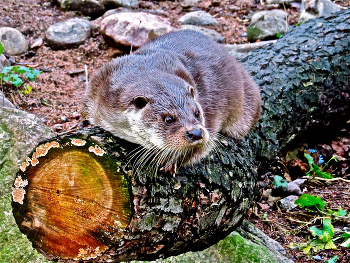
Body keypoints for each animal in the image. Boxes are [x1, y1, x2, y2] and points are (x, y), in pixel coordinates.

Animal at [82, 30, 262, 175]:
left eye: (197, 113)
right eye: (169, 119)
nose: (196, 133)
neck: (145, 70)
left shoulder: (210, 115)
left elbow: (203, 146)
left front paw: (170, 161)